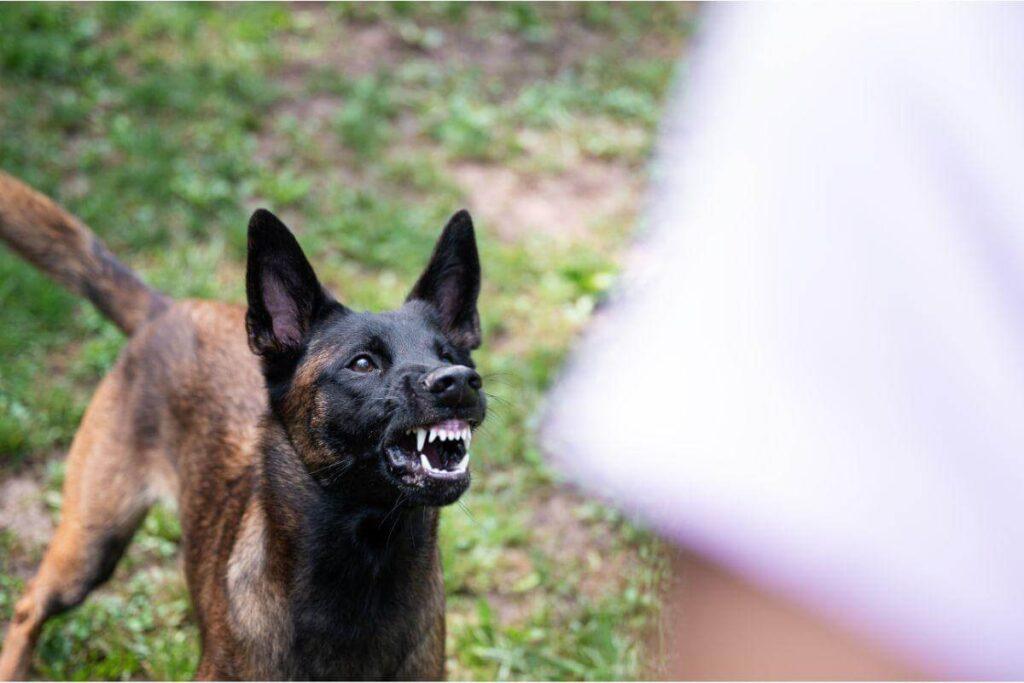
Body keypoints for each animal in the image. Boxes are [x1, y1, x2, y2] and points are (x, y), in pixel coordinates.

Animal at [0, 171, 485, 679]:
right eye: (363, 363)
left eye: (449, 355)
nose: (458, 382)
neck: (366, 561)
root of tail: (164, 310)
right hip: (91, 540)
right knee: (29, 604)